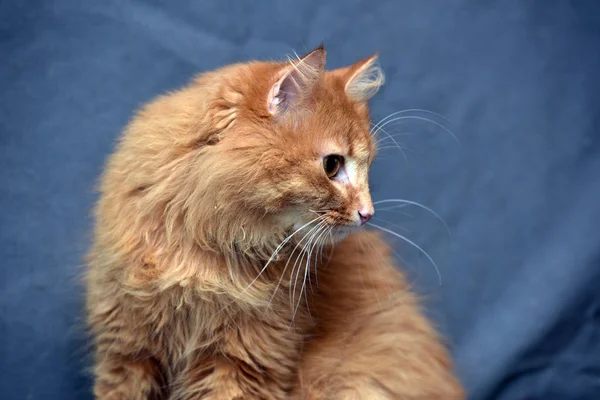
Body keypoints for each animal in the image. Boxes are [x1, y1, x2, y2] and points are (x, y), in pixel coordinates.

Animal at [85, 44, 464, 400]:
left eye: (367, 167)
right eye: (332, 165)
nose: (367, 214)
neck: (202, 244)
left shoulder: (242, 362)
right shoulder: (127, 351)